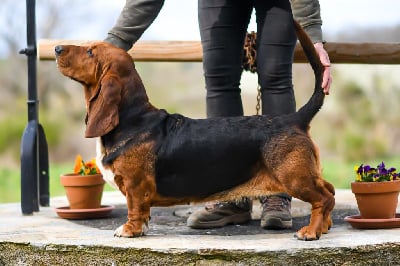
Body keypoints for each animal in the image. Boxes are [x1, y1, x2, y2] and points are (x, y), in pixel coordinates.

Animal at [54, 19, 334, 240]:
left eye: (90, 52)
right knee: (329, 190)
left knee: (323, 198)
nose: (57, 48)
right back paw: (324, 227)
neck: (133, 118)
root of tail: (293, 119)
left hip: (294, 178)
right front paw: (140, 228)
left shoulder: (135, 185)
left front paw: (129, 230)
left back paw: (310, 232)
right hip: (304, 175)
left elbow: (134, 209)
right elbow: (143, 212)